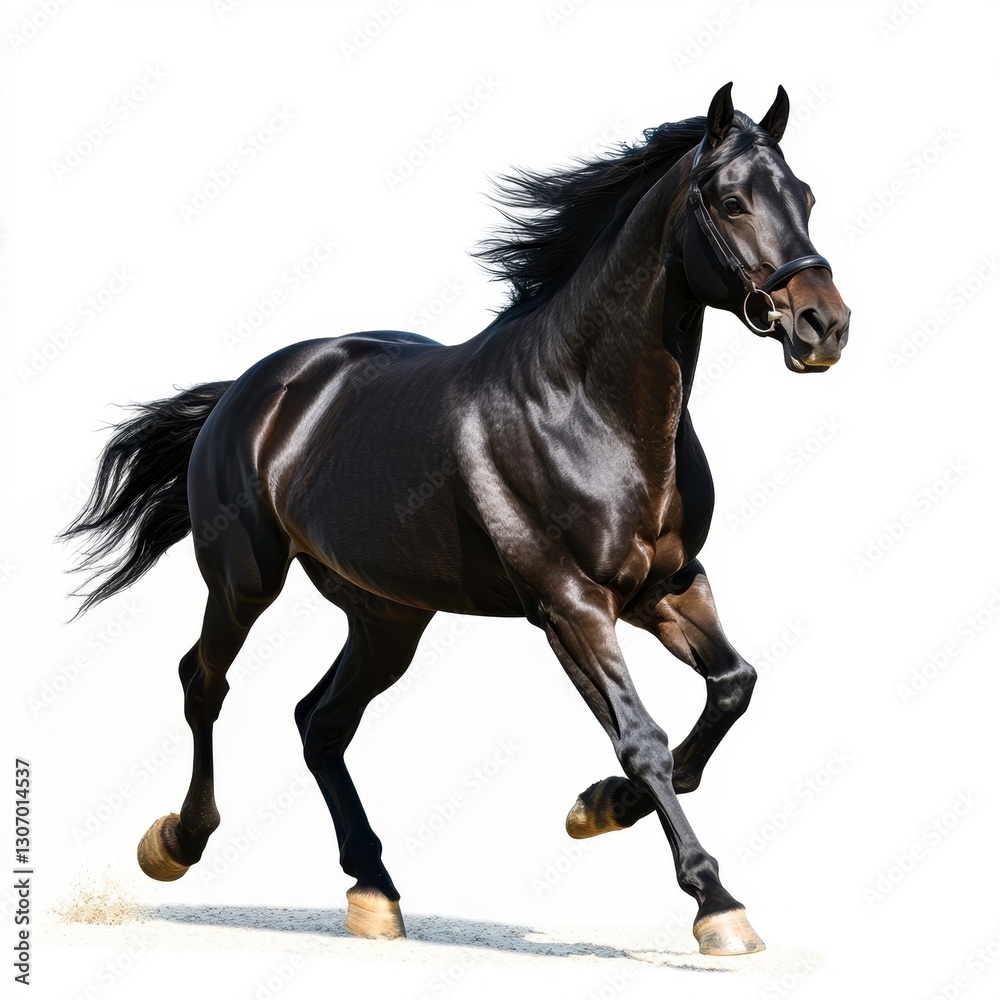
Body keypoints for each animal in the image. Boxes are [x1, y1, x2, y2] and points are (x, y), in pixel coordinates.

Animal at [62, 83, 849, 956]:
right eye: (732, 200)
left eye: (806, 196)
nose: (825, 327)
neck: (587, 408)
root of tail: (251, 388)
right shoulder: (570, 605)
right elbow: (641, 737)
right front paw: (716, 904)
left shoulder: (671, 586)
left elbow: (732, 688)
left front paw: (597, 807)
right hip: (244, 579)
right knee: (205, 683)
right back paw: (176, 843)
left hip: (390, 615)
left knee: (319, 721)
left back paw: (374, 892)